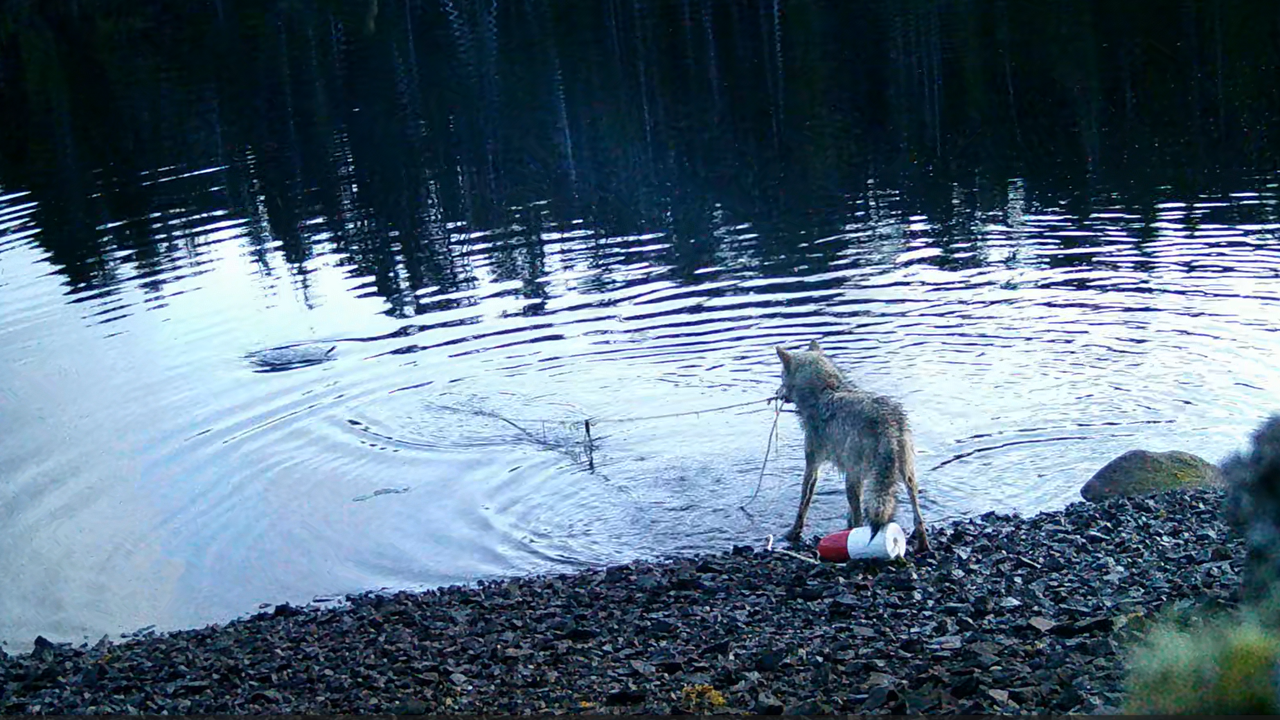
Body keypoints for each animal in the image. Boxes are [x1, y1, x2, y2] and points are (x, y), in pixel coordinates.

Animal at [775, 340, 929, 552]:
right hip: (906, 477)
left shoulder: (812, 466)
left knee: (860, 519)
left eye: (781, 376)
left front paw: (792, 533)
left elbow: (803, 502)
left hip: (852, 481)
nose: (776, 393)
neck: (826, 390)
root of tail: (888, 424)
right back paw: (923, 546)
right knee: (918, 517)